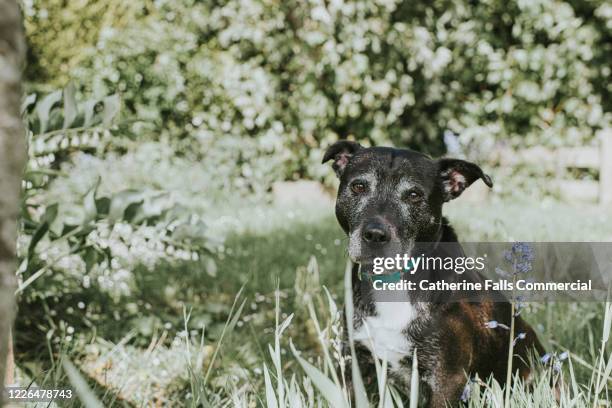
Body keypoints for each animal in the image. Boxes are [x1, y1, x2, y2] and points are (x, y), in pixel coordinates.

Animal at [322, 141, 544, 408]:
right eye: (358, 186)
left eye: (414, 195)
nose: (375, 235)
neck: (393, 283)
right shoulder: (352, 365)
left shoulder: (446, 379)